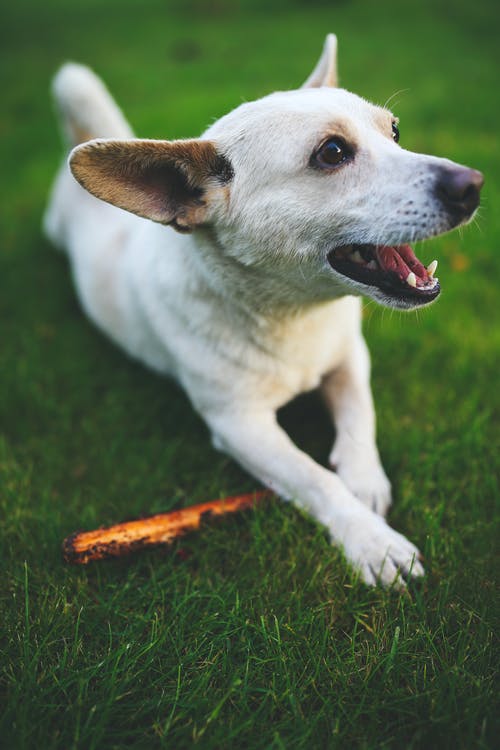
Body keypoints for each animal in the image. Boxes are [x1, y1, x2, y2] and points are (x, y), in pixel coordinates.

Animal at [45, 33, 482, 588]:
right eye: (332, 152)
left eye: (395, 132)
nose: (473, 184)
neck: (294, 315)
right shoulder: (240, 426)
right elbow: (315, 479)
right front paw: (372, 540)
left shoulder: (350, 359)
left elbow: (360, 419)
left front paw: (365, 482)